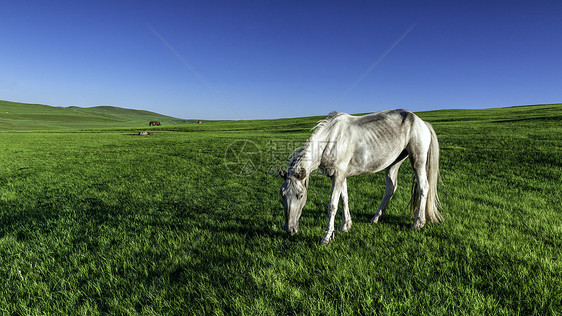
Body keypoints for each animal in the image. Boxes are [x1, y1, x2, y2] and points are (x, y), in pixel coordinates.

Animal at [276, 108, 442, 244]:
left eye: (300, 195)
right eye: (282, 195)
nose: (289, 229)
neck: (331, 140)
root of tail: (422, 122)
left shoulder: (338, 176)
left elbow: (332, 205)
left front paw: (327, 237)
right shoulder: (339, 176)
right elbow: (344, 199)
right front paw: (346, 225)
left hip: (418, 161)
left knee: (423, 187)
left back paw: (418, 223)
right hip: (394, 163)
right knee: (391, 188)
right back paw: (376, 217)